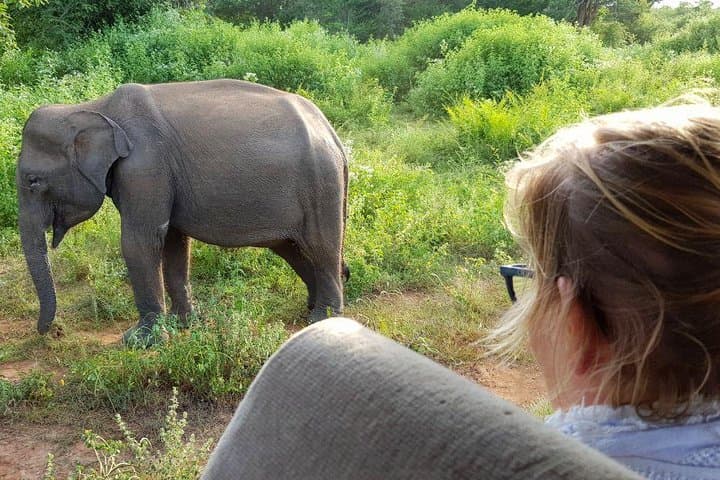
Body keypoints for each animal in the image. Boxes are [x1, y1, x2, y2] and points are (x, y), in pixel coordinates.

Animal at [16, 79, 348, 346]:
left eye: (33, 181)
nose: (49, 332)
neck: (94, 107)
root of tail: (330, 131)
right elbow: (173, 243)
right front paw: (184, 324)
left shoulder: (145, 168)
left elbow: (141, 242)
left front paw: (140, 341)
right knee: (289, 247)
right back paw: (312, 308)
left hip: (320, 184)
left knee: (322, 246)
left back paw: (324, 318)